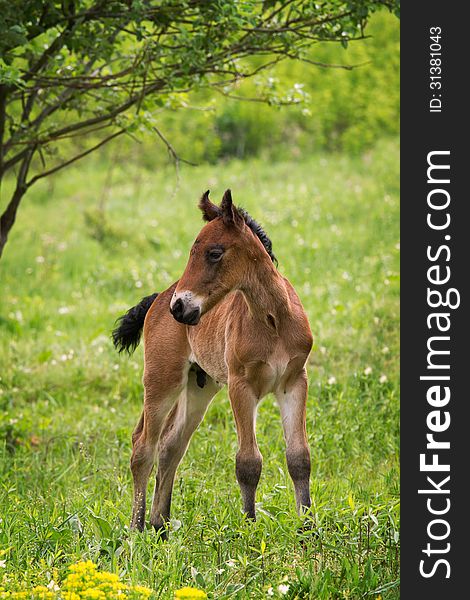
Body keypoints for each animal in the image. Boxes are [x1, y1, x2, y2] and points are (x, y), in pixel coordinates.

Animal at [112, 189, 314, 536]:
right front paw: (249, 529)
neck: (273, 319)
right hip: (162, 380)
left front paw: (308, 529)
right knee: (143, 447)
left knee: (170, 446)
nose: (180, 307)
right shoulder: (240, 386)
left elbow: (299, 457)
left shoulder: (293, 382)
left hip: (199, 387)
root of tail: (158, 297)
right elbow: (248, 462)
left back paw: (160, 525)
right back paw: (137, 529)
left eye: (214, 253)